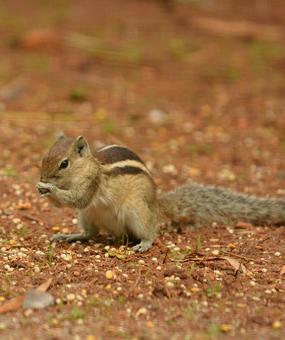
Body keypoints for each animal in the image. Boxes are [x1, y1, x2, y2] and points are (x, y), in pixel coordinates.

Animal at [36, 136, 284, 252]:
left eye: (64, 163)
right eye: (44, 157)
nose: (44, 178)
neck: (86, 167)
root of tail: (156, 205)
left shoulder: (92, 183)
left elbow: (78, 199)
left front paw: (50, 188)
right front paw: (41, 187)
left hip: (136, 210)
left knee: (150, 231)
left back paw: (144, 244)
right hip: (88, 215)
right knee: (90, 233)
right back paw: (70, 236)